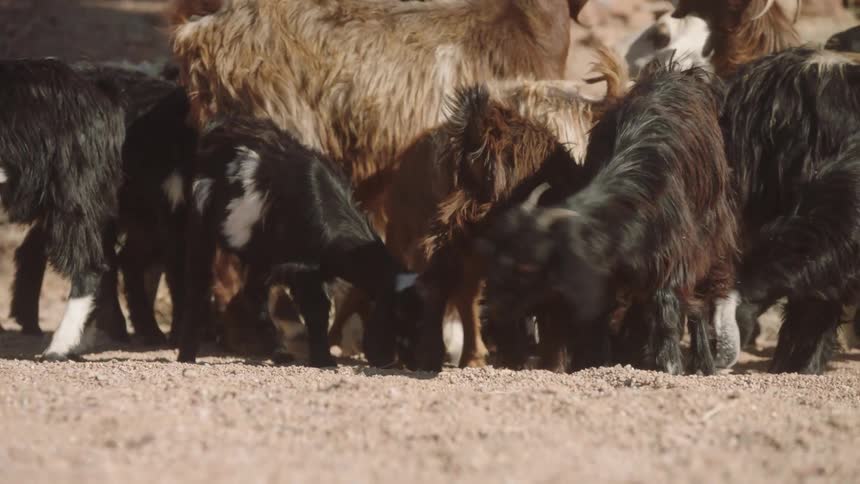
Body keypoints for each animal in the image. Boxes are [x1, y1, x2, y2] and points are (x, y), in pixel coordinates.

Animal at [178, 117, 414, 366]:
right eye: (403, 316)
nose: (415, 364)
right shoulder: (303, 268)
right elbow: (316, 309)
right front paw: (324, 361)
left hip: (261, 254)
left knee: (253, 293)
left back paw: (279, 352)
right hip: (201, 221)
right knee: (198, 285)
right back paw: (187, 356)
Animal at [478, 60, 736, 375]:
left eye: (528, 267)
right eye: (496, 258)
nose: (488, 312)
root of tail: (682, 74)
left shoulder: (672, 258)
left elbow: (667, 306)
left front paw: (669, 364)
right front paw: (597, 361)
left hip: (712, 238)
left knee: (700, 300)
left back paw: (702, 364)